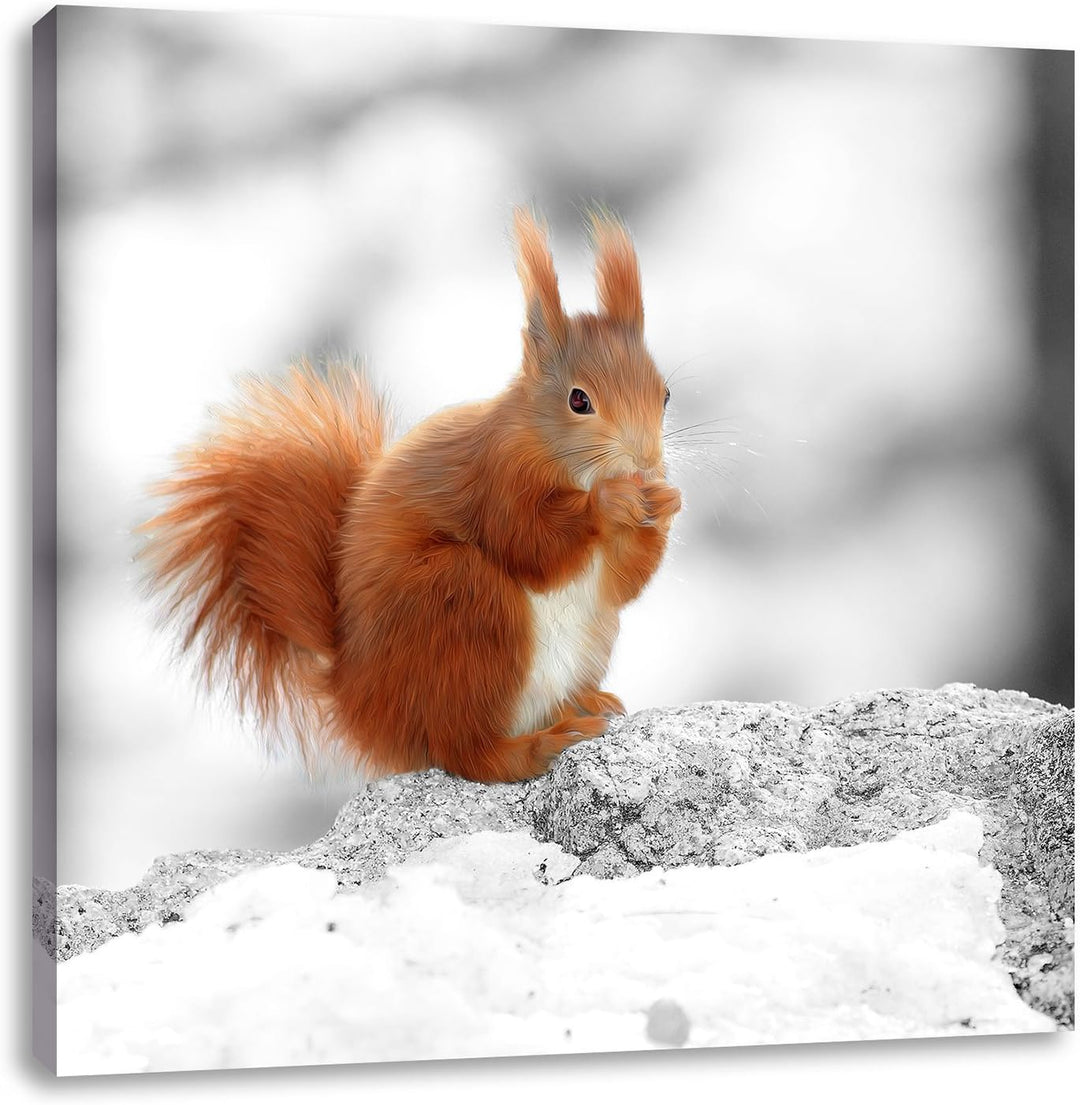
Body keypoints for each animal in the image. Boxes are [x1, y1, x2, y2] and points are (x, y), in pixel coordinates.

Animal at [138, 208, 682, 783]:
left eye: (666, 394)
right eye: (579, 400)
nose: (647, 463)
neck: (555, 455)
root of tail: (359, 704)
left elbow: (621, 584)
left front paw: (666, 504)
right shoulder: (495, 478)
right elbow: (529, 544)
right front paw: (611, 501)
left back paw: (583, 703)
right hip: (459, 606)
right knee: (467, 753)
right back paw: (539, 745)